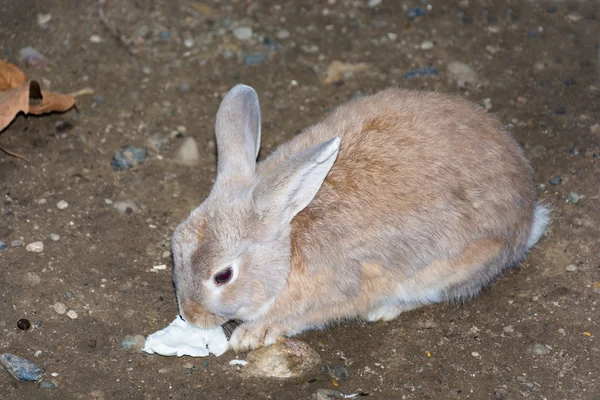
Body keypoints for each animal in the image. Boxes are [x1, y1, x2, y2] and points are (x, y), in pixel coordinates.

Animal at [169, 83, 548, 350]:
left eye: (223, 276)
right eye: (175, 247)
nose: (190, 314)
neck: (289, 243)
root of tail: (529, 215)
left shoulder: (336, 292)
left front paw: (251, 335)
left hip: (448, 268)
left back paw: (385, 309)